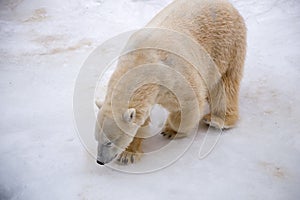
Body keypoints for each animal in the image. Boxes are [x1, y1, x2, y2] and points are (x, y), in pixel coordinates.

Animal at [95, 0, 246, 165]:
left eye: (109, 142)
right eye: (97, 139)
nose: (100, 161)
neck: (140, 61)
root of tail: (228, 5)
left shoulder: (173, 77)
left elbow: (189, 103)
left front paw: (171, 129)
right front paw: (128, 154)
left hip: (225, 45)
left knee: (225, 83)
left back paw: (217, 120)